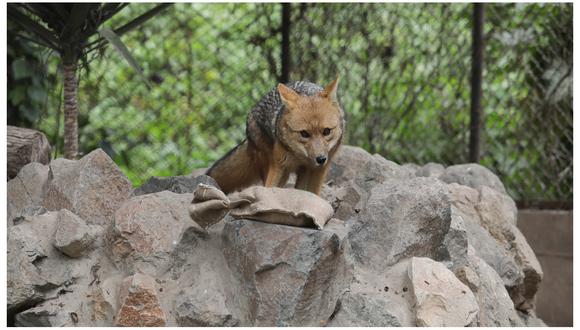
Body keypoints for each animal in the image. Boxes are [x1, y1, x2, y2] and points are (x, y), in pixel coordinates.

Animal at [206, 78, 344, 196]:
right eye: (304, 134)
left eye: (327, 131)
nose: (320, 159)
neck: (301, 157)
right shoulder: (278, 166)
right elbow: (269, 189)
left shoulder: (319, 170)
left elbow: (314, 194)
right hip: (276, 167)